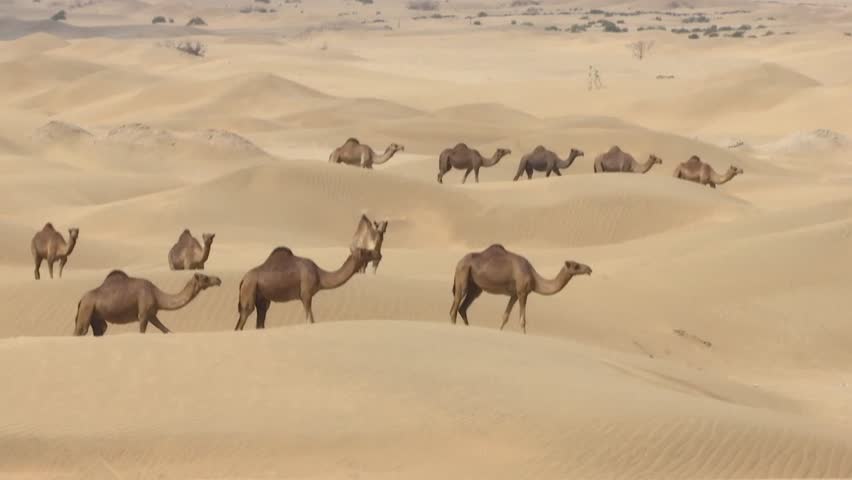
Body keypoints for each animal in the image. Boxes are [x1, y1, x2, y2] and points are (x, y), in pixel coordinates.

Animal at [72, 268, 221, 336]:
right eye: (205, 278)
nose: (218, 280)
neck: (157, 295)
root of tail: (81, 299)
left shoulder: (152, 314)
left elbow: (166, 330)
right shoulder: (143, 314)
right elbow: (142, 332)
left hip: (96, 316)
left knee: (100, 329)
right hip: (87, 308)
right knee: (80, 330)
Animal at [233, 246, 370, 328]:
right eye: (365, 252)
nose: (375, 254)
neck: (319, 275)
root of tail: (243, 279)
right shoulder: (306, 294)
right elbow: (310, 319)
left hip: (262, 297)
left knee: (260, 317)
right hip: (249, 289)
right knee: (243, 317)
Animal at [446, 244, 592, 334]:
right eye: (576, 266)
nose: (589, 269)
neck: (534, 278)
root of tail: (459, 262)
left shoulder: (514, 294)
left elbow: (505, 316)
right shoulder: (522, 292)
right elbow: (523, 320)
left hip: (476, 288)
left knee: (462, 308)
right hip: (462, 275)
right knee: (454, 308)